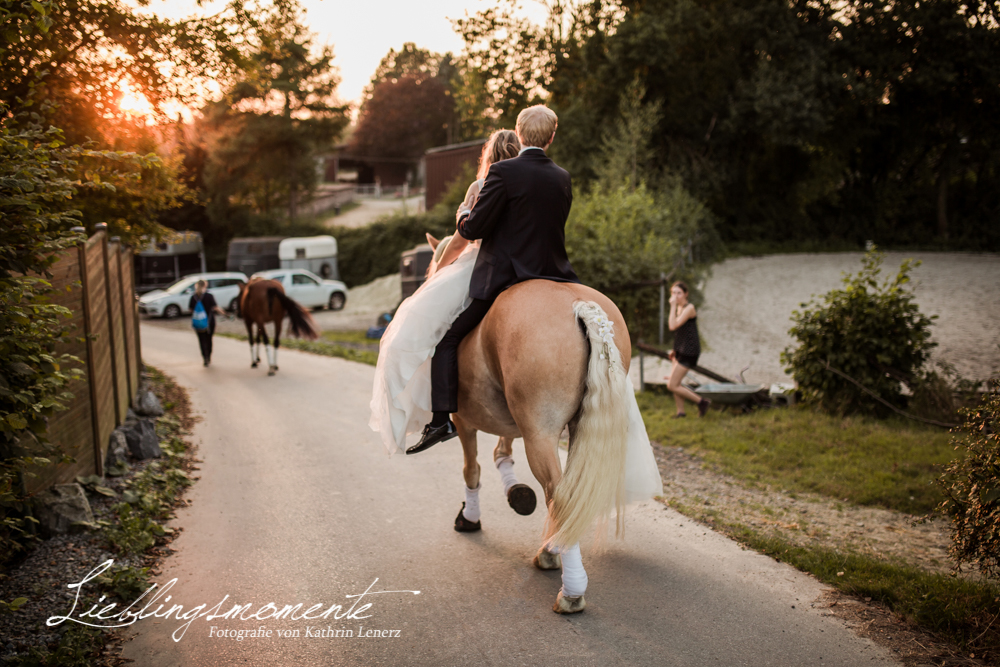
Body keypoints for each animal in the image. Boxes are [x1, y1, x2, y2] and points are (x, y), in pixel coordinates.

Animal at [424, 235, 632, 616]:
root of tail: (582, 307)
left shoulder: (463, 421)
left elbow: (471, 470)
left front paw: (470, 518)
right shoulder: (509, 419)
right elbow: (501, 452)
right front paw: (515, 492)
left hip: (540, 434)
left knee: (559, 494)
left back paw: (566, 583)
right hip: (575, 428)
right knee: (569, 492)